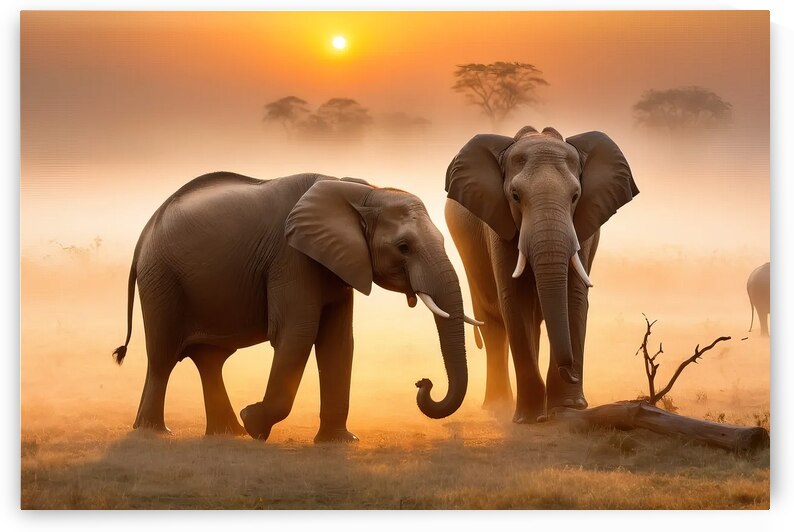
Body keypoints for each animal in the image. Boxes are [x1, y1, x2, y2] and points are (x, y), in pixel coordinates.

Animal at [112, 172, 479, 442]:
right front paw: (254, 423)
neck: (360, 193)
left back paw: (227, 433)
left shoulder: (337, 263)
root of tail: (145, 231)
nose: (423, 382)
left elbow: (337, 342)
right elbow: (298, 332)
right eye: (403, 247)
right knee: (163, 357)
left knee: (209, 360)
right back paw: (156, 432)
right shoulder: (291, 257)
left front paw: (339, 442)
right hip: (161, 279)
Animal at [444, 126, 638, 422]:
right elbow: (514, 299)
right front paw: (529, 418)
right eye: (515, 196)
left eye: (575, 196)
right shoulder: (498, 222)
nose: (571, 372)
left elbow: (573, 297)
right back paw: (497, 406)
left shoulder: (584, 225)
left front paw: (567, 407)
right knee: (492, 325)